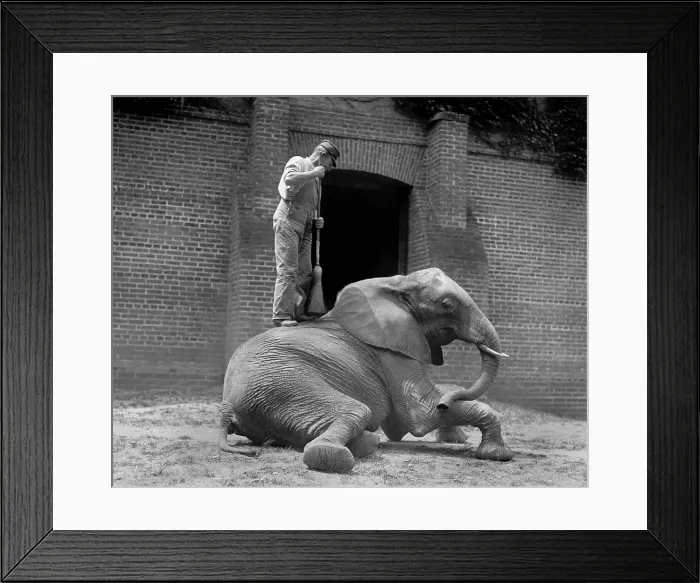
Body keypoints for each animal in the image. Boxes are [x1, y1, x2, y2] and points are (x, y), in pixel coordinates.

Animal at [219, 267, 514, 473]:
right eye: (447, 304)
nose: (446, 405)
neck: (398, 283)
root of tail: (226, 409)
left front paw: (454, 436)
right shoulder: (390, 351)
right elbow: (422, 414)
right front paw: (498, 455)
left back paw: (369, 442)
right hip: (283, 385)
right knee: (356, 410)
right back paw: (337, 454)